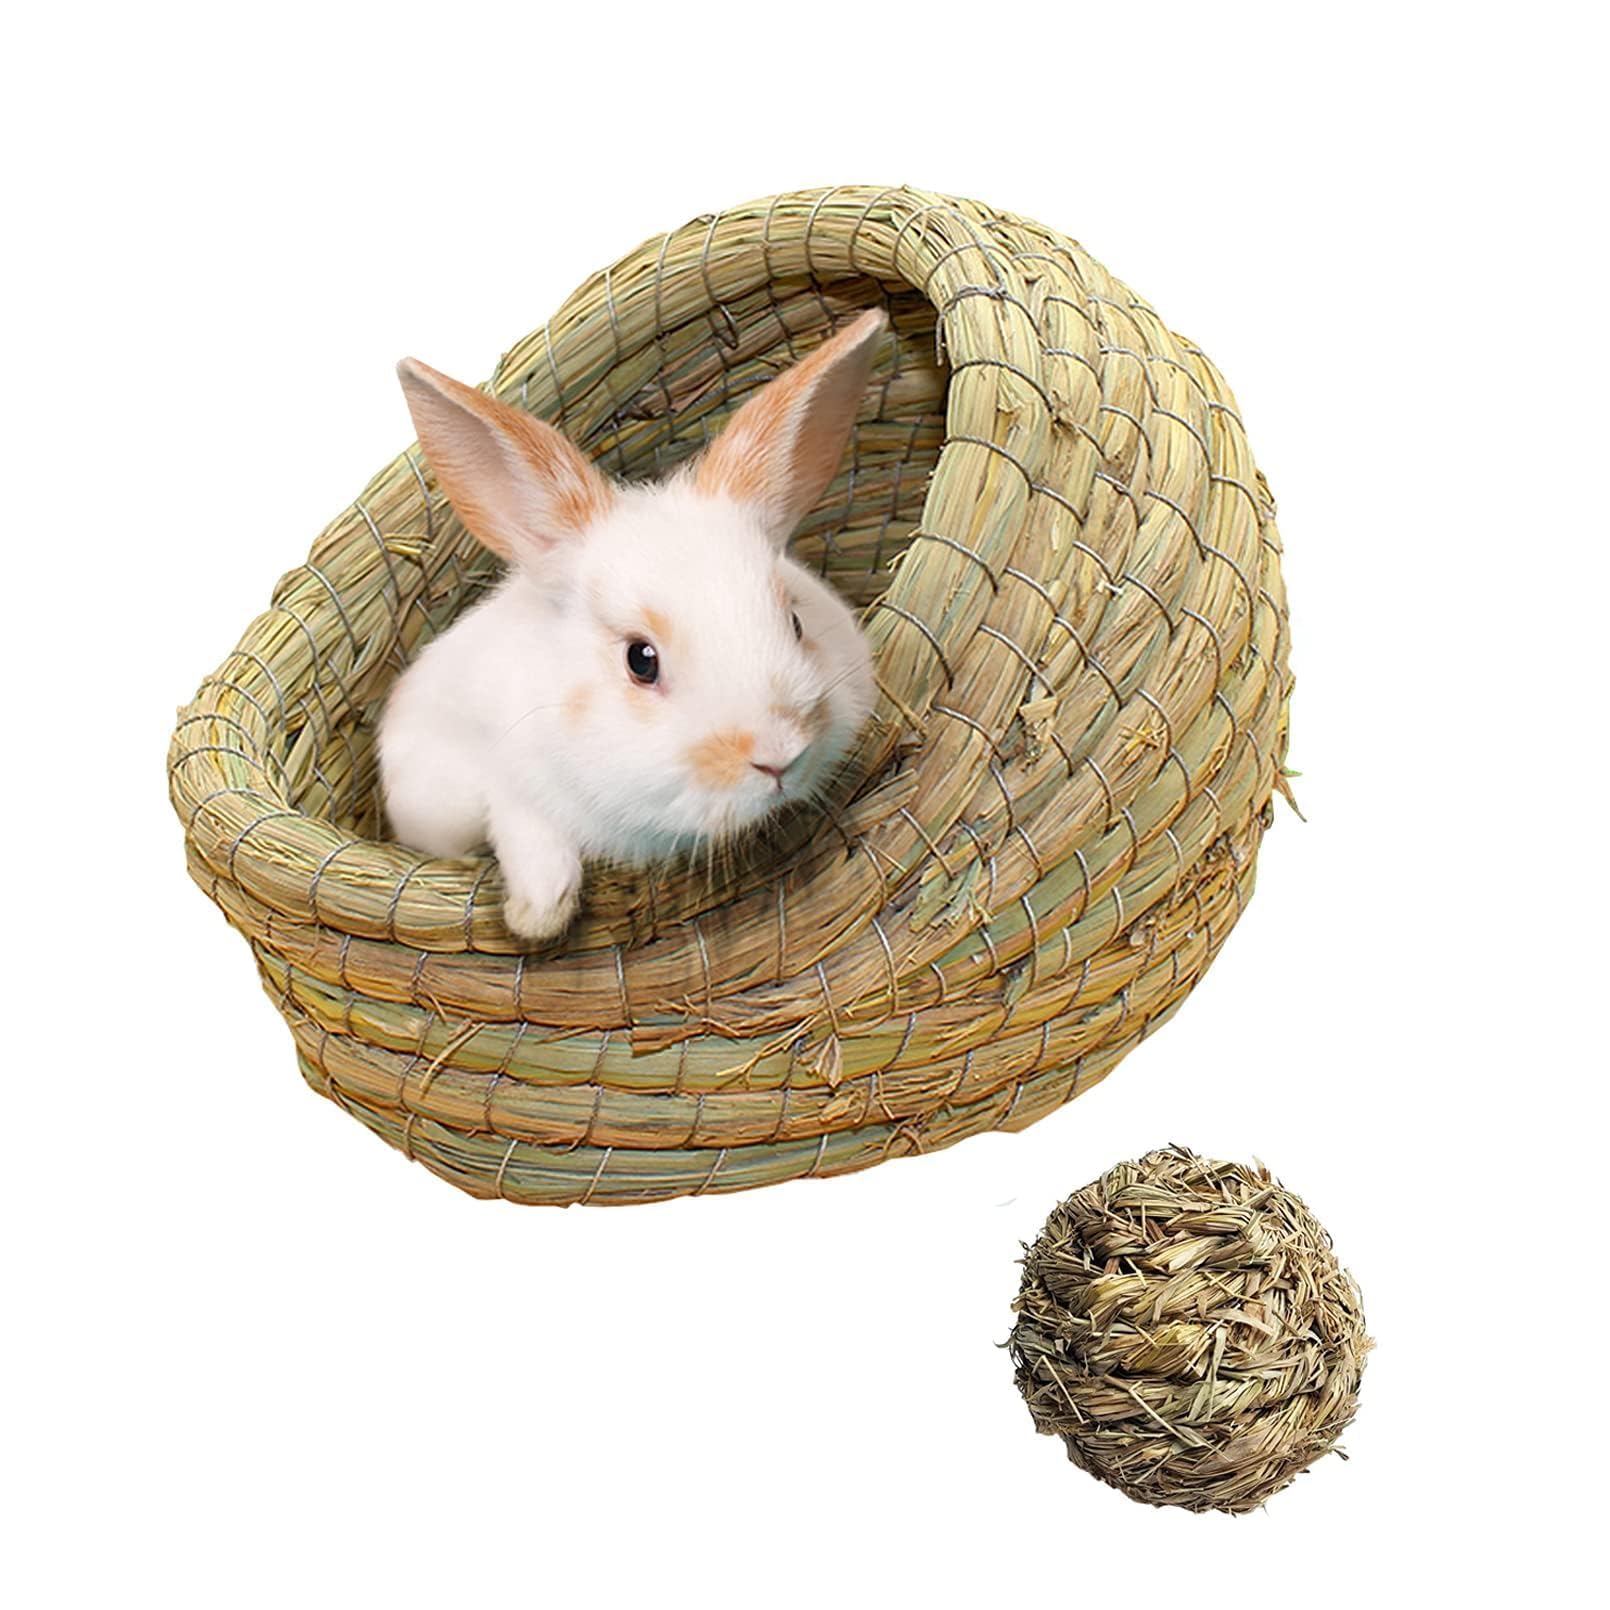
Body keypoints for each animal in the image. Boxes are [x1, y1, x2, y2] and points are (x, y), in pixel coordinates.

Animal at [379, 307, 885, 942]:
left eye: (794, 621)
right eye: (641, 661)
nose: (778, 757)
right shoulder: (473, 773)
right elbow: (520, 823)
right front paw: (538, 914)